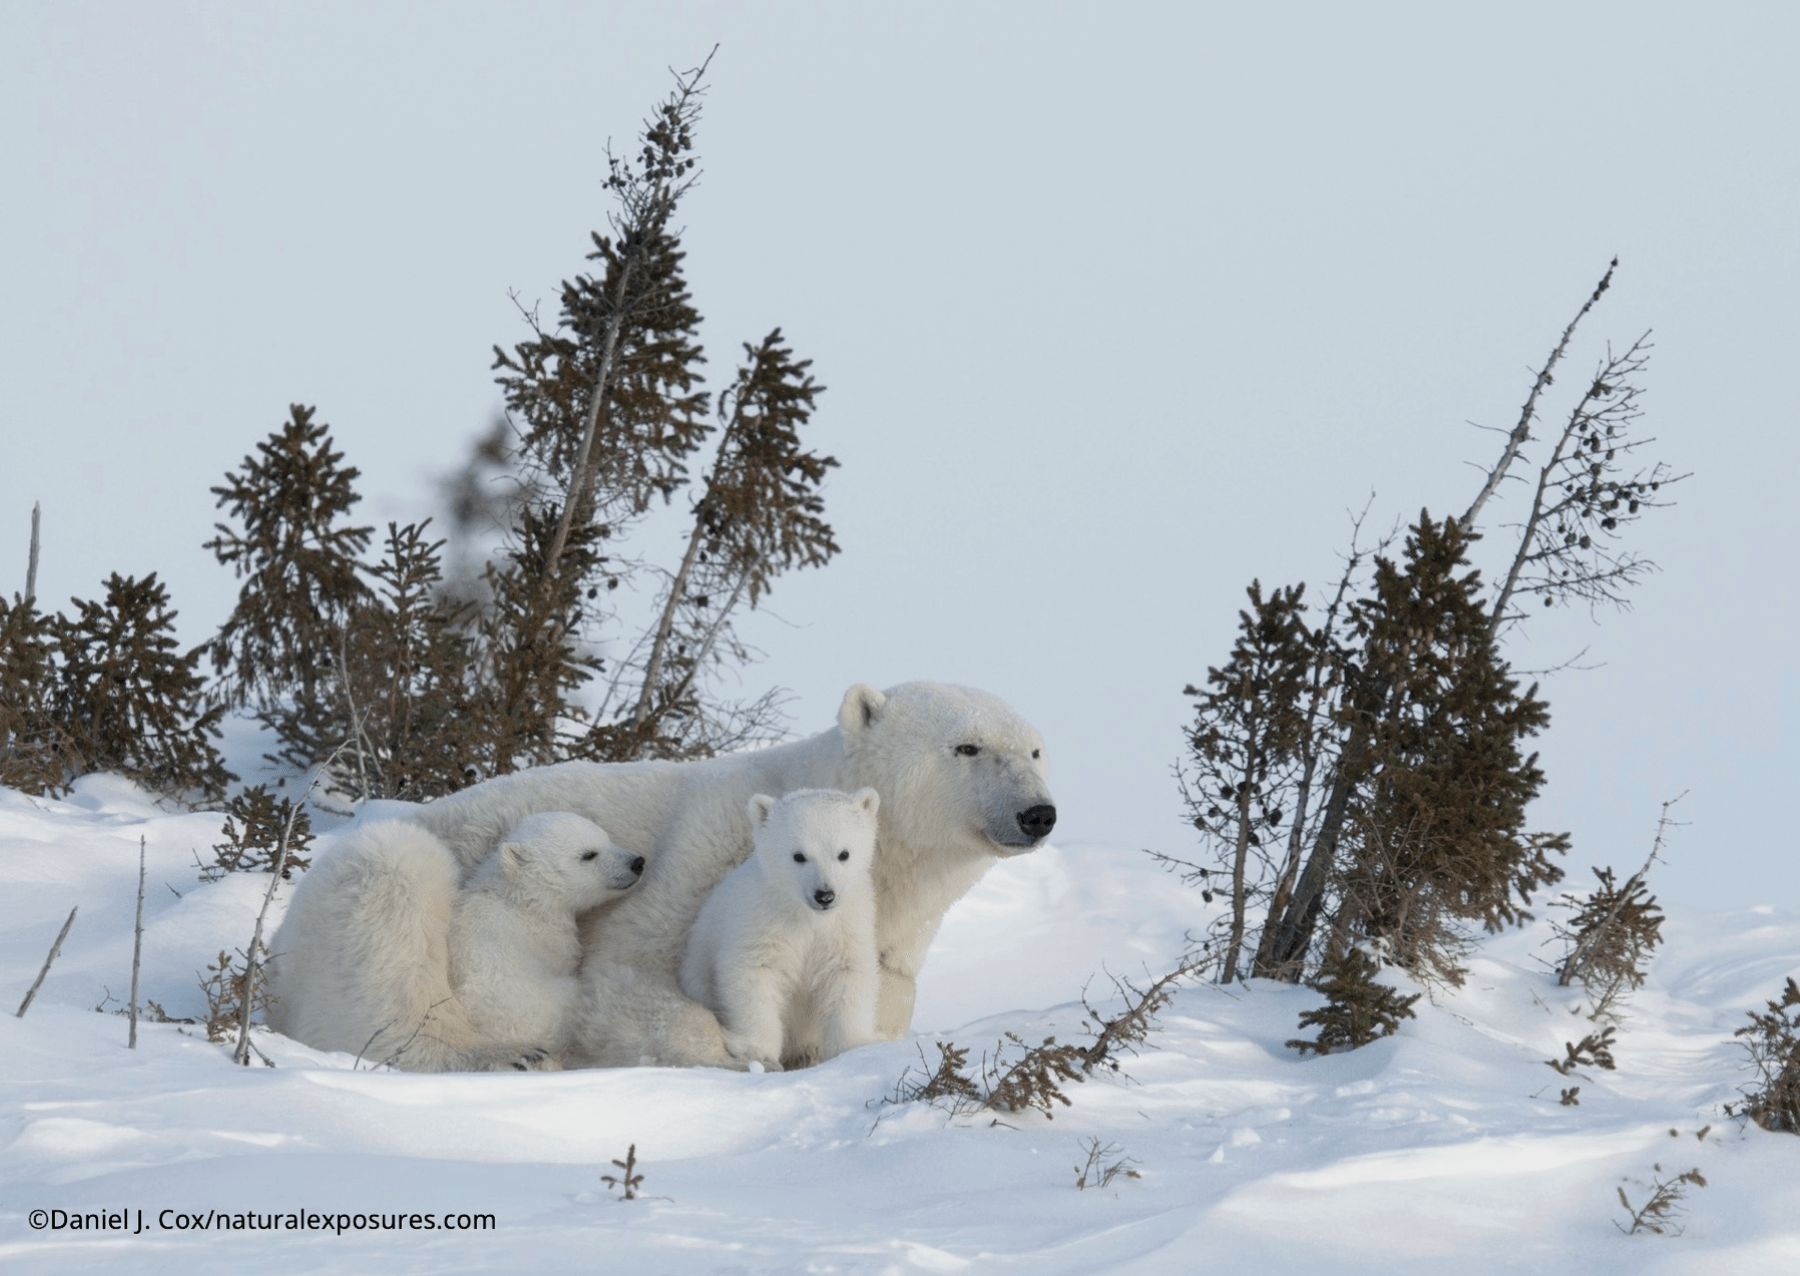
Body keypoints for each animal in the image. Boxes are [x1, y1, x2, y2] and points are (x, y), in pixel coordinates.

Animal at [680, 788, 882, 1071]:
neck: (807, 916)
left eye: (844, 853)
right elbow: (754, 974)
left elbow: (848, 975)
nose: (824, 895)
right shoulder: (764, 920)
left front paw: (856, 1049)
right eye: (799, 855)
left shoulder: (847, 926)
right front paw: (756, 1051)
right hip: (696, 971)